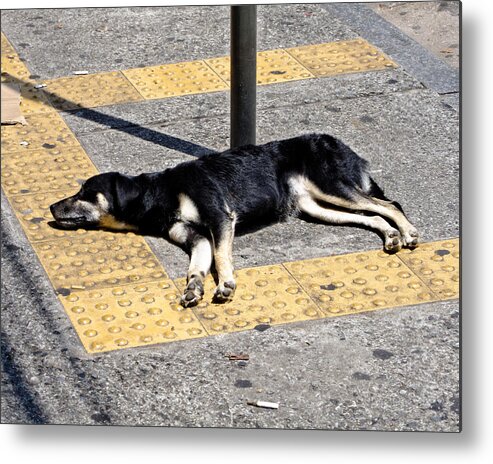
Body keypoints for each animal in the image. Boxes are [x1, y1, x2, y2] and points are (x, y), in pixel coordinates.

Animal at [50, 133, 418, 308]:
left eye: (84, 193)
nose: (51, 208)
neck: (159, 193)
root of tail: (336, 141)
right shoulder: (195, 237)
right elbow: (197, 266)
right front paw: (194, 287)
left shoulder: (220, 217)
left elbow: (221, 256)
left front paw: (225, 283)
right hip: (319, 206)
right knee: (371, 215)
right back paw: (390, 236)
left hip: (332, 186)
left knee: (389, 204)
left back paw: (408, 232)